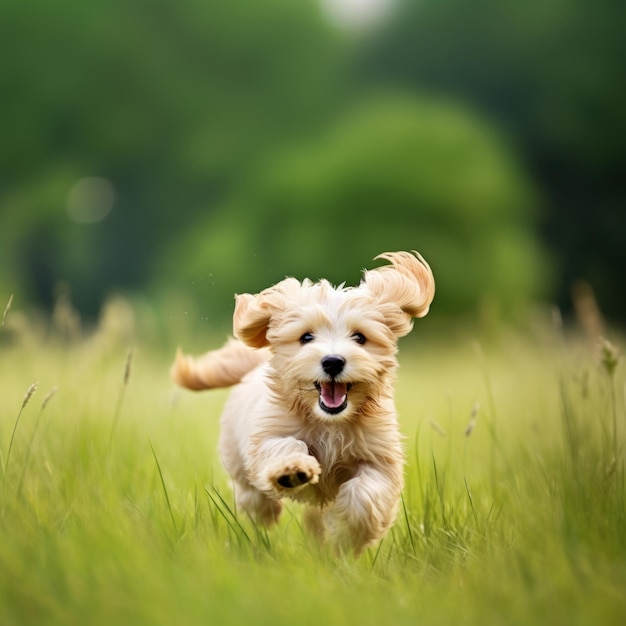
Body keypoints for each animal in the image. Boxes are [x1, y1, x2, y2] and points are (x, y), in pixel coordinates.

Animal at [171, 249, 434, 552]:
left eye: (360, 337)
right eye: (306, 337)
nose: (333, 361)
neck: (329, 423)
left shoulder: (380, 457)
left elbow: (365, 494)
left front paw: (345, 533)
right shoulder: (267, 433)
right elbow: (284, 445)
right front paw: (292, 470)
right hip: (237, 458)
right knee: (252, 495)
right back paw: (265, 512)